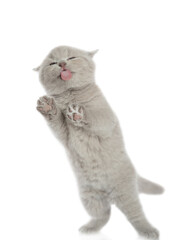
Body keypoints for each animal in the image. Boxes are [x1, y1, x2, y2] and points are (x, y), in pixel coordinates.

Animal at [34, 46, 163, 239]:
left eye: (71, 57)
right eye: (52, 63)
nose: (62, 64)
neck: (71, 95)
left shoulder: (106, 118)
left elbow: (95, 118)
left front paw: (77, 113)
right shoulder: (63, 134)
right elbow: (57, 122)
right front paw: (49, 107)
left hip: (126, 193)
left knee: (136, 215)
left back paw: (148, 231)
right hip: (89, 197)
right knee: (104, 215)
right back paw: (89, 229)